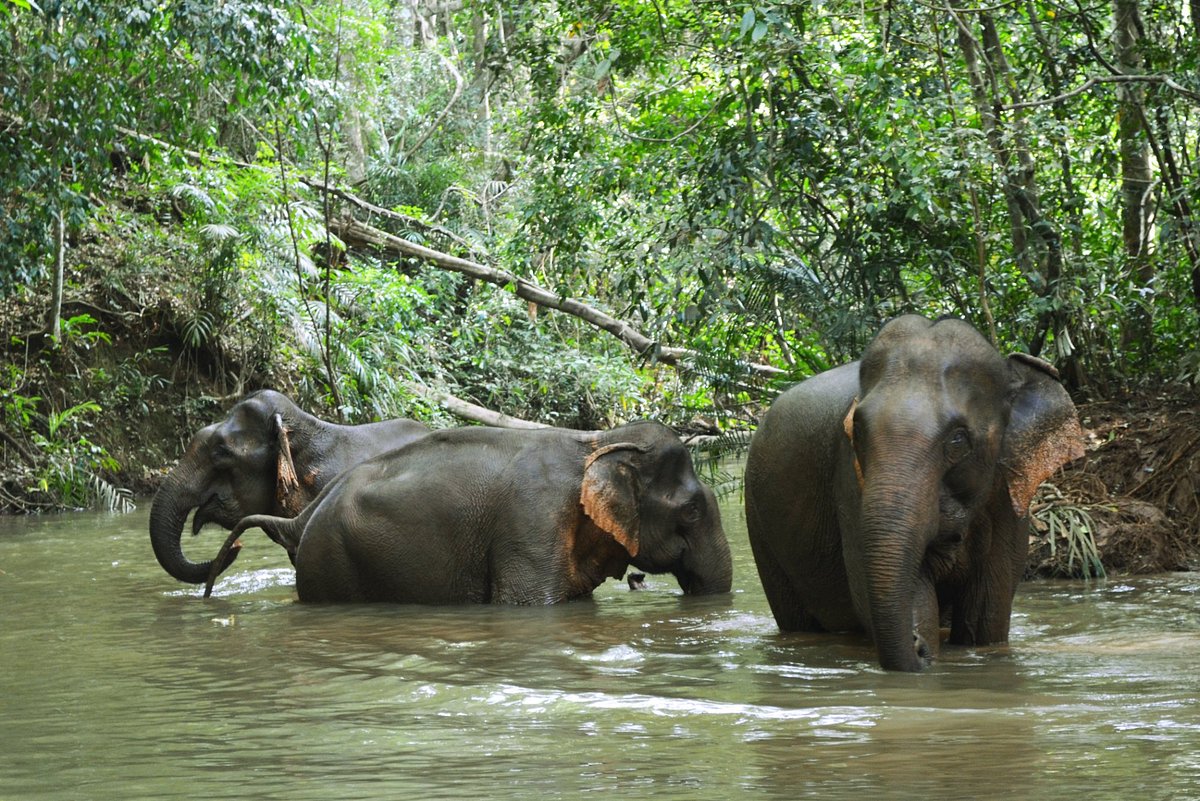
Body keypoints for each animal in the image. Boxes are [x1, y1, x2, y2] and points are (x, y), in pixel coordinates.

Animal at [744, 315, 1084, 672]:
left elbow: (988, 611)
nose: (917, 642)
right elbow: (877, 588)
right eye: (857, 431)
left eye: (958, 439)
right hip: (760, 526)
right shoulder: (849, 480)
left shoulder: (1008, 491)